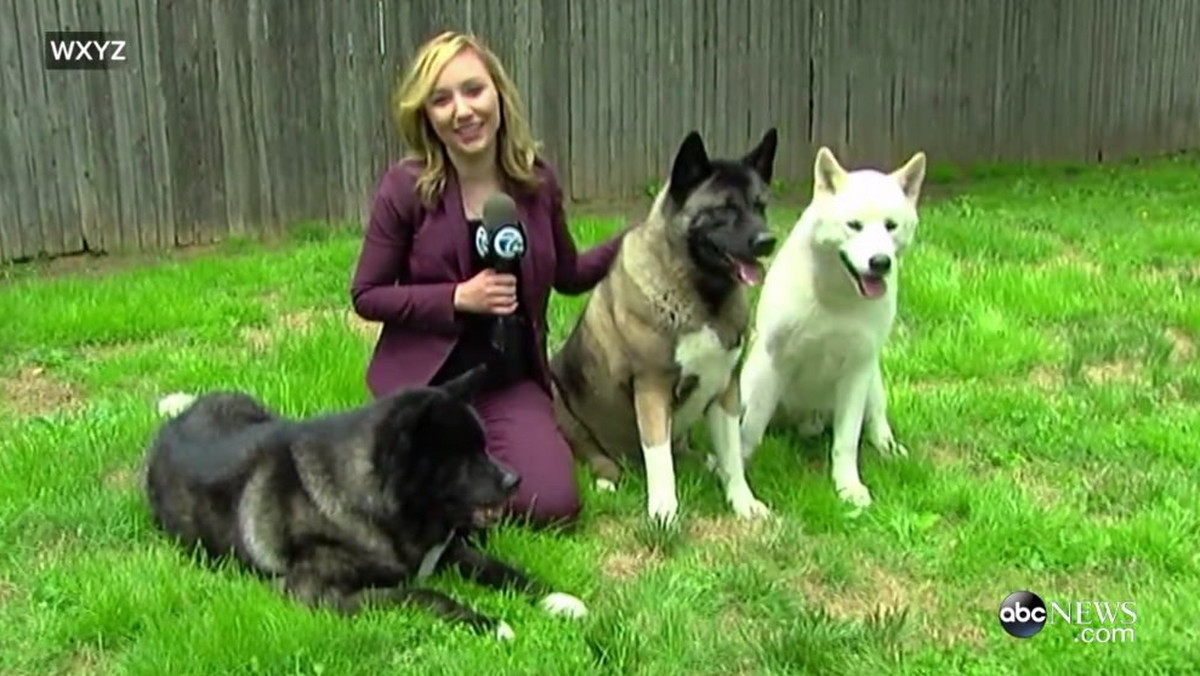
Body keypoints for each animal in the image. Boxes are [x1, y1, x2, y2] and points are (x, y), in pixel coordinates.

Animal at [739, 147, 926, 509]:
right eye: (854, 226)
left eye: (891, 226)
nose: (880, 262)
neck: (835, 296)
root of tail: (806, 421)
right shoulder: (773, 361)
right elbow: (751, 427)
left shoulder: (857, 368)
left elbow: (847, 441)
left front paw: (848, 487)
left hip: (873, 380)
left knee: (876, 418)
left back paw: (888, 447)